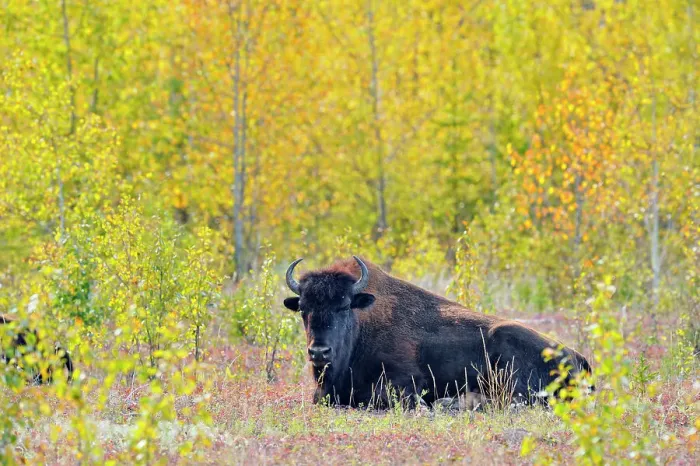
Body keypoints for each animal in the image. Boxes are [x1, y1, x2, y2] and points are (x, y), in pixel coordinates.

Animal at [283, 256, 592, 408]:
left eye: (345, 306)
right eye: (303, 309)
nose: (319, 351)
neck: (362, 325)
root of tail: (577, 357)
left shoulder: (406, 382)